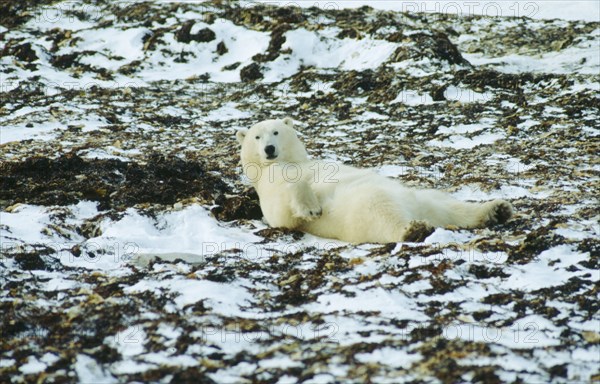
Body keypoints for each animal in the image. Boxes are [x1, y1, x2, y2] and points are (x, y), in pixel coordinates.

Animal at [237, 118, 512, 243]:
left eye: (275, 132)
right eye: (257, 137)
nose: (269, 149)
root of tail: (417, 210)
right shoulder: (269, 189)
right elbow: (284, 212)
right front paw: (311, 207)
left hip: (421, 197)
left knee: (451, 206)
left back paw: (496, 209)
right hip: (361, 208)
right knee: (381, 213)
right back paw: (414, 229)